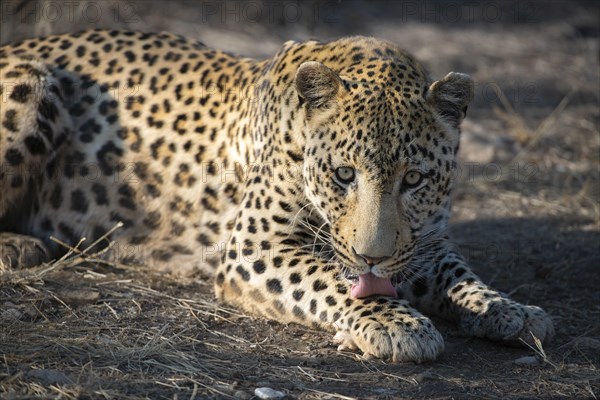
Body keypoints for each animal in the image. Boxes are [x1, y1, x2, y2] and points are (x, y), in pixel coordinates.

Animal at [0, 28, 552, 362]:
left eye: (413, 180)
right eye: (344, 175)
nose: (373, 258)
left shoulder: (422, 243)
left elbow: (460, 275)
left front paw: (510, 309)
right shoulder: (254, 246)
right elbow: (328, 278)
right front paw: (396, 325)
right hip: (29, 81)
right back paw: (20, 246)